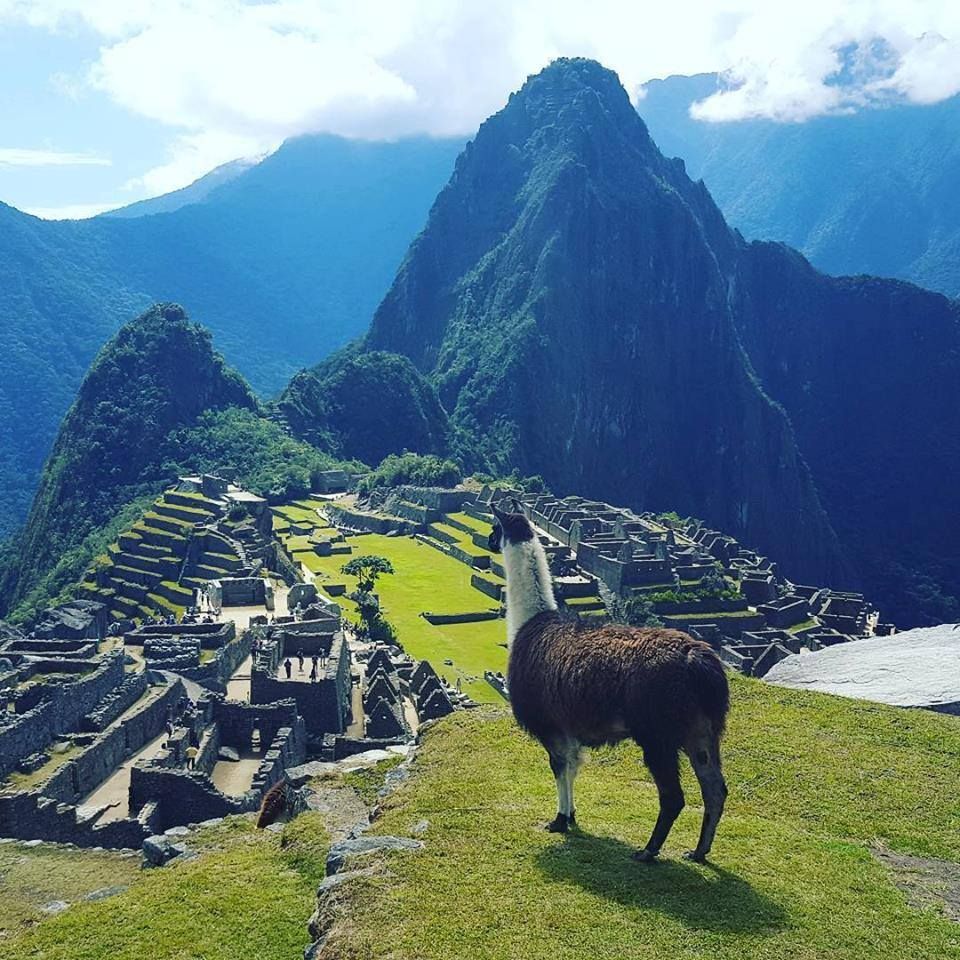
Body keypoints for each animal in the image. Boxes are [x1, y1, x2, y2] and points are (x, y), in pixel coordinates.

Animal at [488, 500, 730, 863]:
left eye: (494, 528)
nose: (489, 542)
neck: (529, 624)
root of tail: (697, 660)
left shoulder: (550, 723)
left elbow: (559, 767)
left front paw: (558, 820)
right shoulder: (569, 726)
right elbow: (574, 766)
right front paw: (572, 816)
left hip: (658, 733)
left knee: (674, 796)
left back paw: (648, 851)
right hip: (702, 729)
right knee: (715, 788)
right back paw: (698, 852)